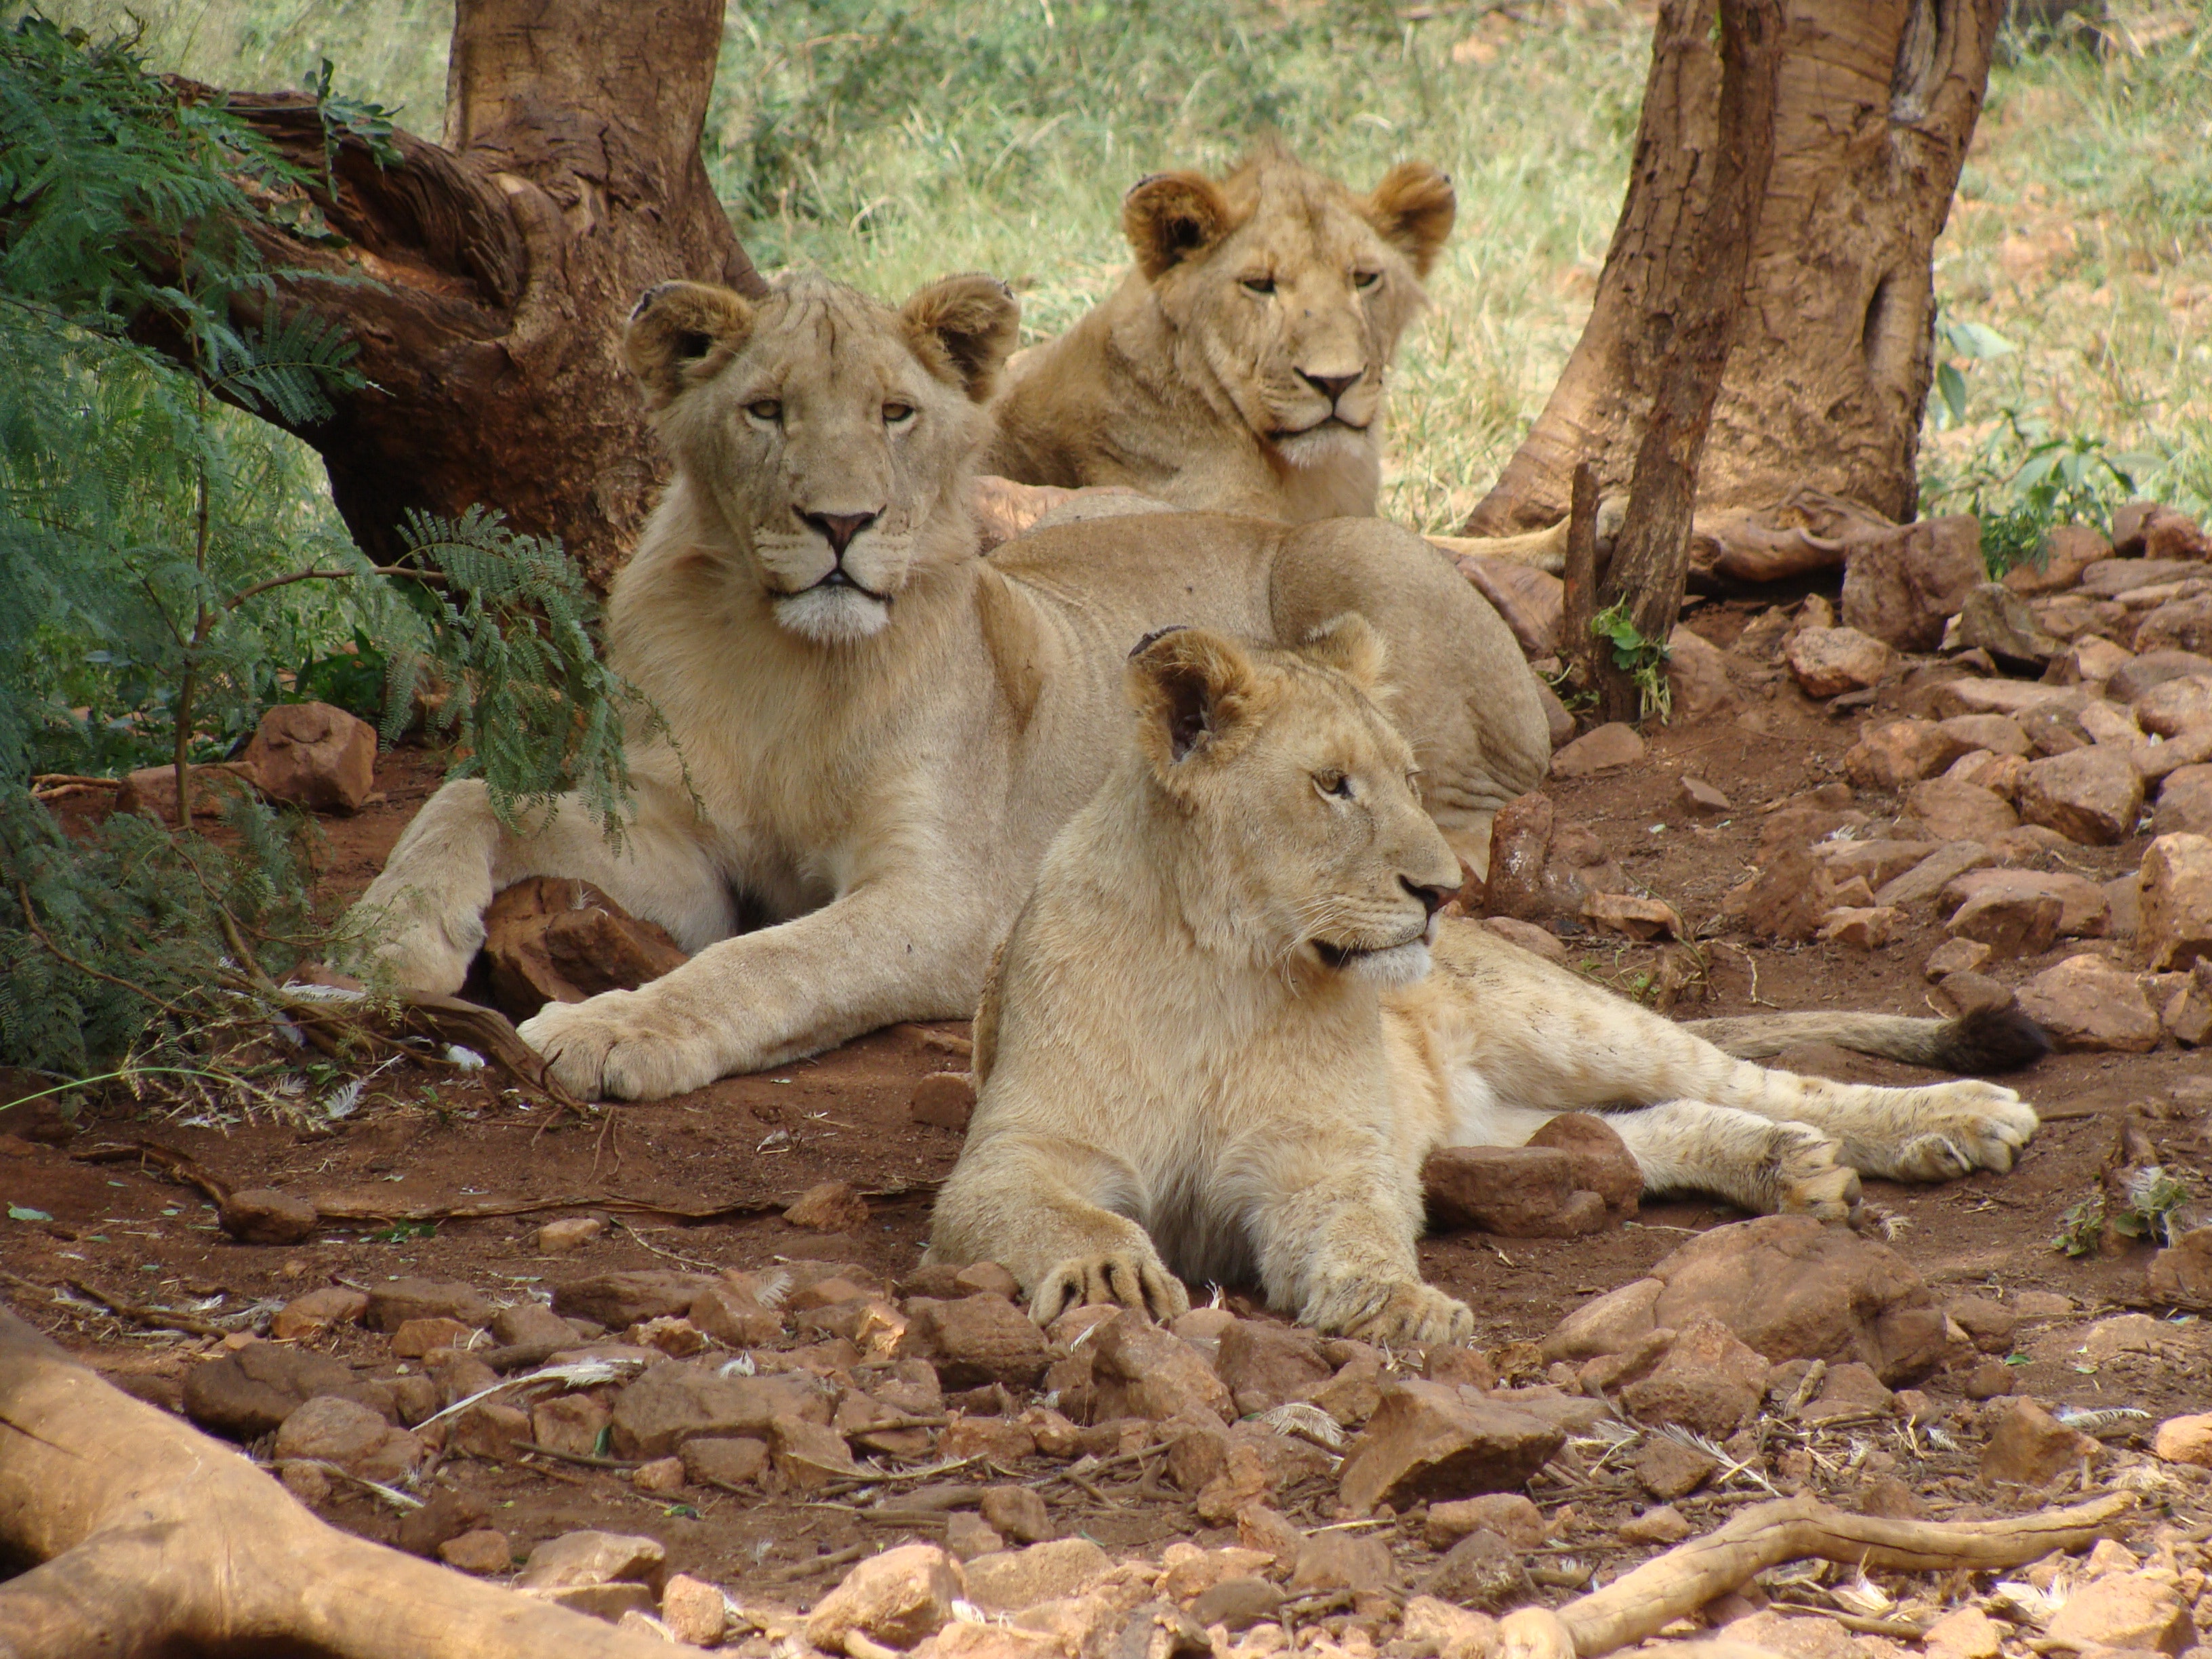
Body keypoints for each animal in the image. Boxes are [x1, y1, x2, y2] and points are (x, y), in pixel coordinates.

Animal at [349, 273, 1557, 1106]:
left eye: (896, 413)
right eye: (766, 410)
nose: (842, 524)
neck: (786, 664)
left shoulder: (943, 902)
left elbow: (769, 961)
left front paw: (611, 1031)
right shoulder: (678, 853)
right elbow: (469, 797)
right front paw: (382, 942)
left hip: (1347, 560)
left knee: (1476, 826)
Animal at [924, 623, 2043, 1353]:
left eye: (1412, 780)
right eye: (1332, 785)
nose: (1442, 891)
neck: (1226, 967)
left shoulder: (1324, 1159)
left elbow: (1359, 1230)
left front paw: (1398, 1306)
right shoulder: (1013, 1155)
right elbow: (1073, 1216)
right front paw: (1110, 1275)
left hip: (1565, 1019)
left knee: (1764, 1081)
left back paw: (1950, 1120)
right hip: (1486, 1128)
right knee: (1637, 1131)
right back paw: (1787, 1167)